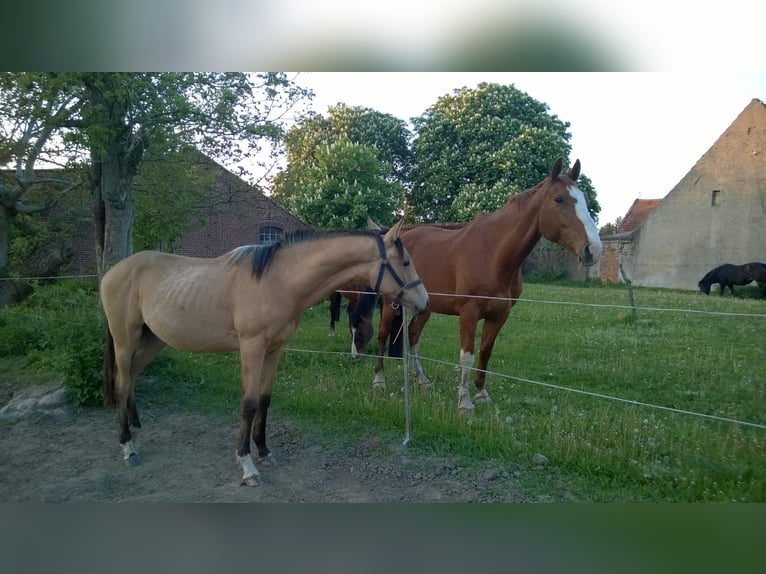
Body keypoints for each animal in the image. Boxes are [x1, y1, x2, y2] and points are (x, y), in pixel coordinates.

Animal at [99, 220, 429, 486]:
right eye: (405, 261)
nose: (424, 301)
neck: (278, 281)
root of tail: (111, 273)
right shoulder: (252, 347)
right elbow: (248, 403)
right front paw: (247, 465)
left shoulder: (274, 349)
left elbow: (265, 400)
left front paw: (264, 451)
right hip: (125, 339)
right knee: (122, 382)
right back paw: (128, 446)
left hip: (154, 339)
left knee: (132, 377)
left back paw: (135, 427)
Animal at [372, 157, 602, 412]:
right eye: (559, 199)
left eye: (584, 199)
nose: (593, 249)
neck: (493, 253)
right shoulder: (469, 313)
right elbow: (467, 355)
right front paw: (464, 403)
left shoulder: (500, 315)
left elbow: (485, 352)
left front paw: (481, 393)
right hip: (390, 304)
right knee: (382, 335)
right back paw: (379, 380)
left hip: (425, 307)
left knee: (413, 334)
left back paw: (422, 379)